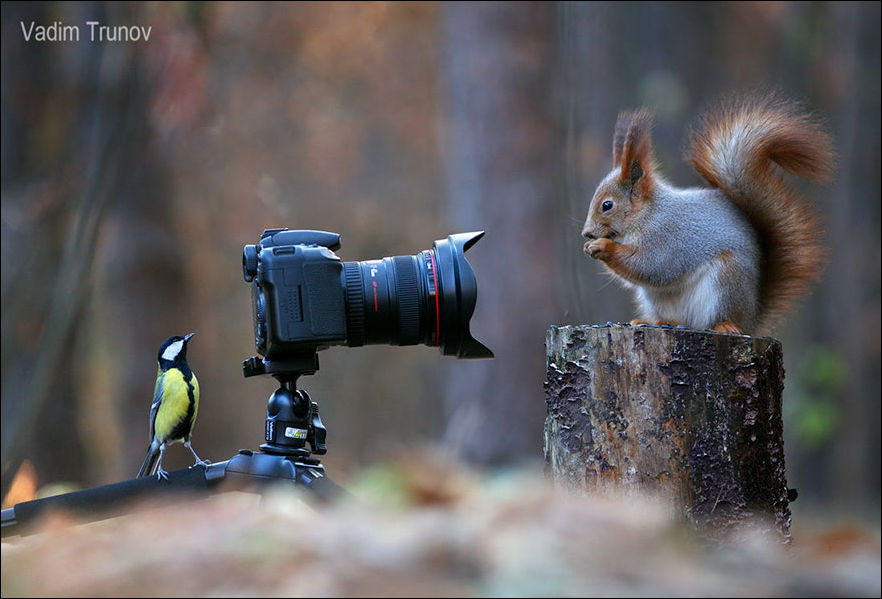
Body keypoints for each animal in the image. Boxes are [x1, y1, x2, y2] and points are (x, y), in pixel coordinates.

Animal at [582, 94, 833, 335]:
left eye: (607, 205)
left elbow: (653, 266)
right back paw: (656, 322)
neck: (647, 215)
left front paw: (603, 247)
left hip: (727, 281)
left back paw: (724, 326)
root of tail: (751, 318)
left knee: (717, 319)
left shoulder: (669, 237)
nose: (587, 234)